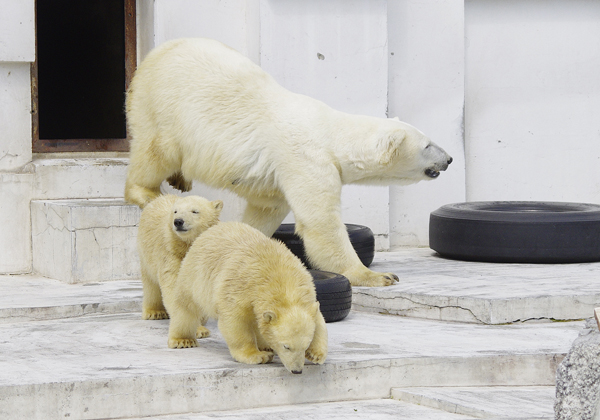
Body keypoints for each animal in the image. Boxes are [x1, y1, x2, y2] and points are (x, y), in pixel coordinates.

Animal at [125, 37, 450, 288]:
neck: (331, 134)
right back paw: (147, 191)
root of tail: (157, 52)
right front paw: (378, 275)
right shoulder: (305, 158)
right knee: (157, 151)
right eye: (427, 144)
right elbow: (321, 221)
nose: (448, 159)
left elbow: (266, 209)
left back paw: (181, 179)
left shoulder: (276, 178)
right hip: (163, 106)